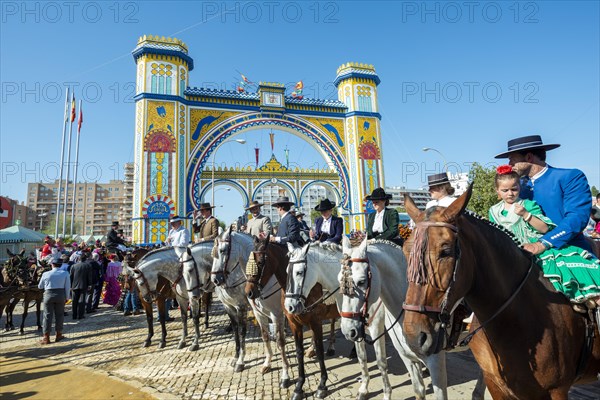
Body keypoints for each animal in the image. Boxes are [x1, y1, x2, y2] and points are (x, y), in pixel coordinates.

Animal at [244, 236, 338, 398]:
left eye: (261, 262)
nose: (248, 292)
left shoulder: (314, 321)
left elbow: (319, 350)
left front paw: (322, 385)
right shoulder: (293, 322)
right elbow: (298, 351)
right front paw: (299, 386)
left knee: (333, 322)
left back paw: (333, 347)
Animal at [284, 241, 394, 400]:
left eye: (299, 272)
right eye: (287, 271)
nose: (289, 306)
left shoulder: (375, 326)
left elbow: (381, 361)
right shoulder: (354, 327)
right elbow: (362, 357)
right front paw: (363, 389)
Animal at [340, 238, 486, 400]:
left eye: (361, 282)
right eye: (340, 280)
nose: (348, 330)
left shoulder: (436, 363)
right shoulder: (408, 358)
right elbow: (419, 390)